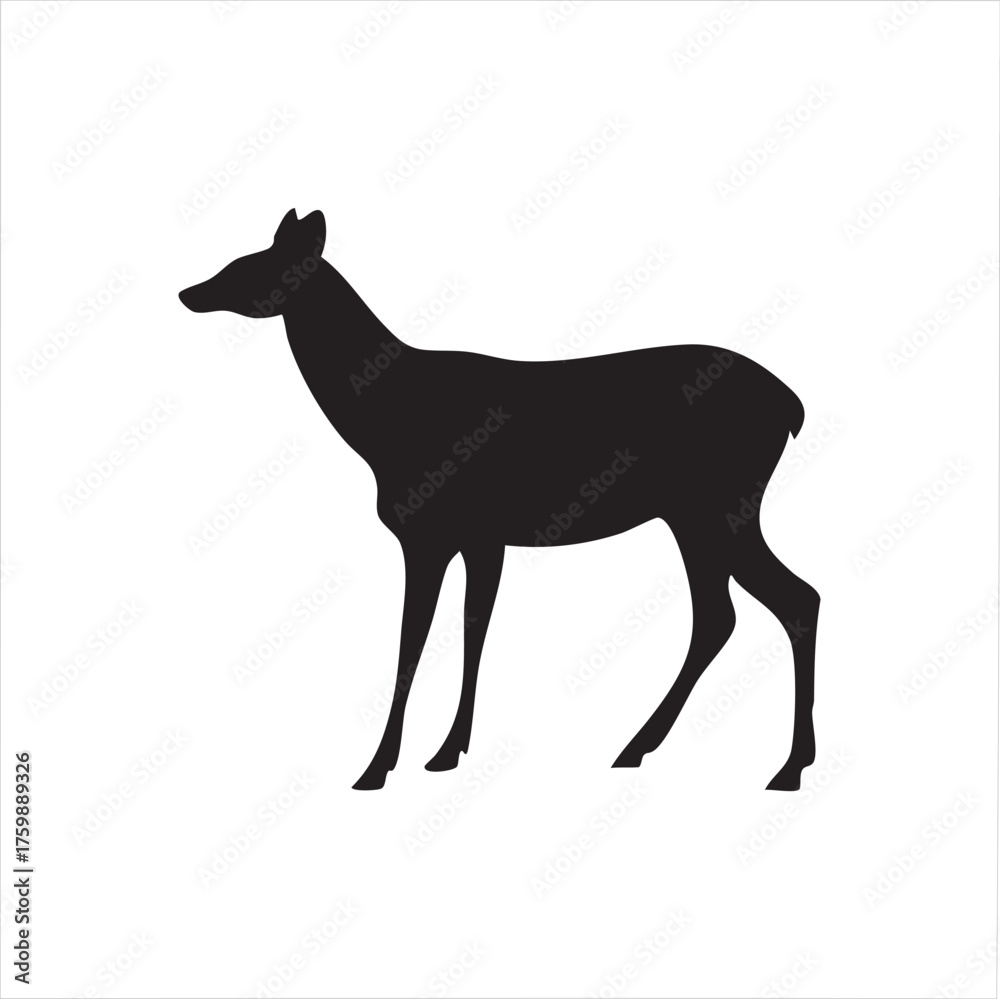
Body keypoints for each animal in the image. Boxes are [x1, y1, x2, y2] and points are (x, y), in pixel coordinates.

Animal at [180, 209, 819, 791]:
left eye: (248, 266)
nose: (188, 291)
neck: (379, 428)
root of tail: (793, 408)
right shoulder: (481, 537)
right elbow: (472, 628)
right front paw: (447, 751)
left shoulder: (430, 532)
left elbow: (416, 639)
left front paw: (380, 766)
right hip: (692, 513)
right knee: (724, 612)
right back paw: (644, 748)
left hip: (719, 502)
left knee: (789, 599)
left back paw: (784, 767)